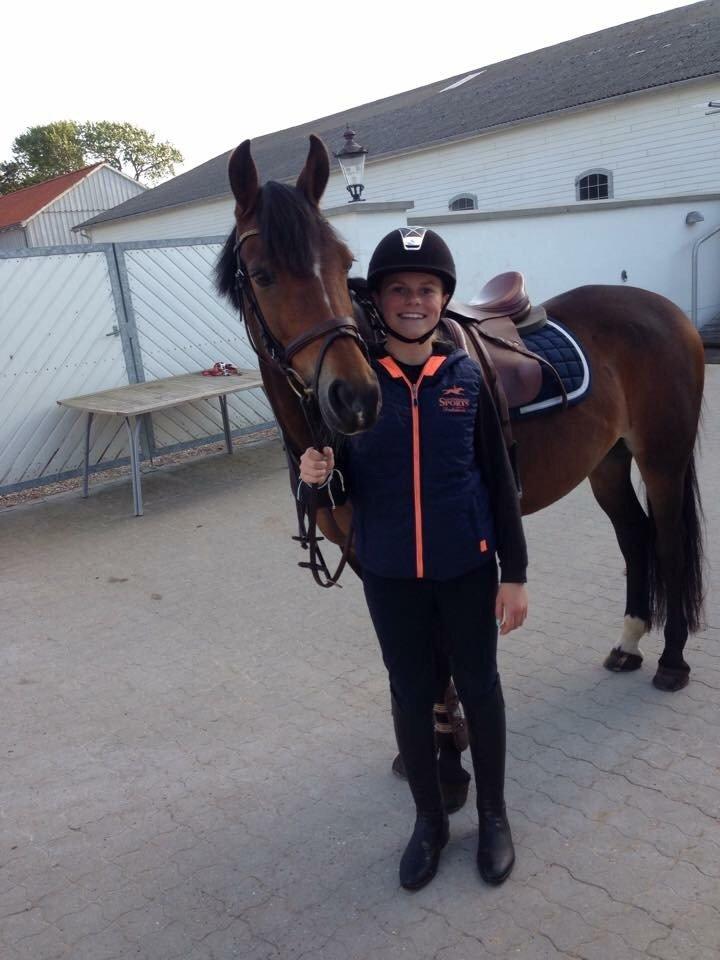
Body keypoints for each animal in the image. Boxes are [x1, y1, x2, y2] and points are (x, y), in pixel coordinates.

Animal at [215, 135, 705, 695]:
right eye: (262, 275)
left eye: (343, 263)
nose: (355, 397)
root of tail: (665, 310)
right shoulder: (368, 559)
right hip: (607, 461)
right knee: (634, 535)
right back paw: (628, 643)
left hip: (662, 458)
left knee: (668, 541)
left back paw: (672, 661)